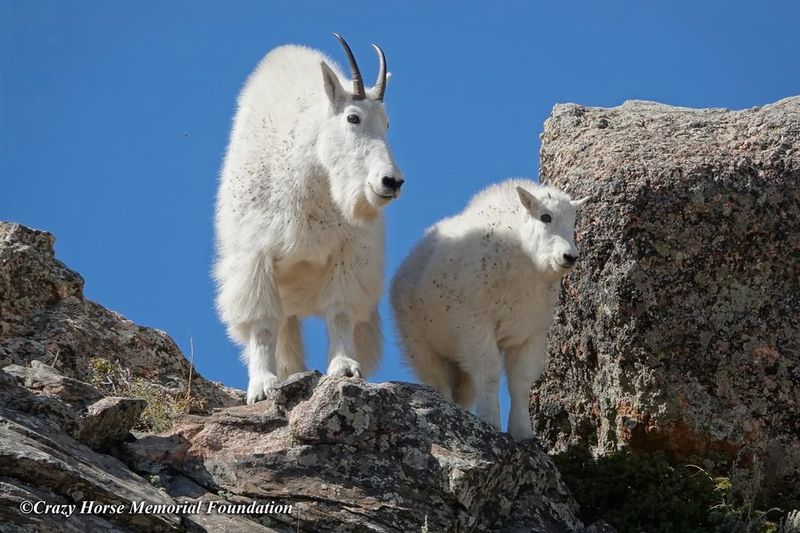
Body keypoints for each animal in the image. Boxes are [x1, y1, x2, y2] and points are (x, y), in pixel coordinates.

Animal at [216, 34, 404, 404]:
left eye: (388, 123)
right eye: (353, 118)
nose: (391, 181)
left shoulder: (350, 254)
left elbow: (341, 311)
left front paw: (345, 367)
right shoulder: (255, 256)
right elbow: (262, 323)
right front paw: (261, 386)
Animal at [390, 181, 584, 438]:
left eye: (573, 220)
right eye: (545, 217)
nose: (569, 256)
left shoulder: (530, 333)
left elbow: (521, 381)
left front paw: (524, 434)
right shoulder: (476, 323)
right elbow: (490, 373)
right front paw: (490, 423)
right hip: (419, 344)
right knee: (438, 381)